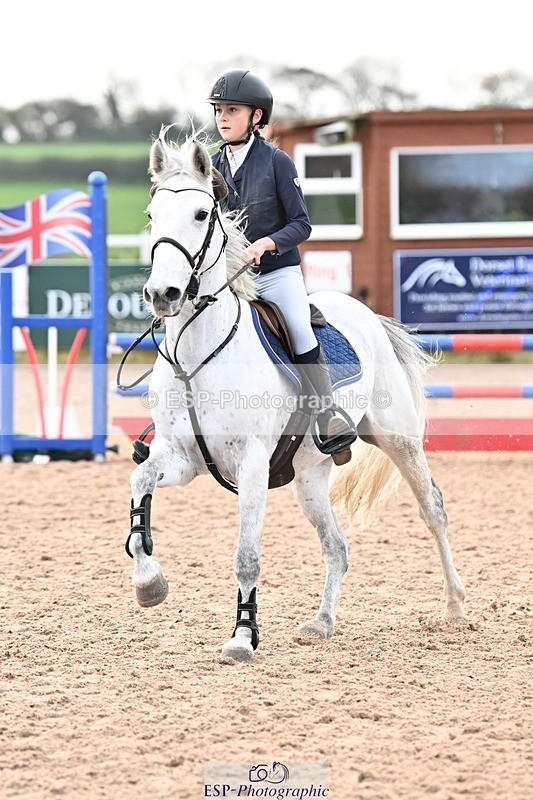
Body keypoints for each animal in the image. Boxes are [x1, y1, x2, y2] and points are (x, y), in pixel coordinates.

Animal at [125, 129, 466, 663]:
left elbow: (246, 557)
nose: (163, 294)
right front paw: (149, 584)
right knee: (337, 547)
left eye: (201, 214)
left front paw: (242, 638)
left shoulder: (252, 465)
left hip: (398, 439)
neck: (198, 354)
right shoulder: (181, 458)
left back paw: (453, 606)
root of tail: (367, 314)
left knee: (432, 508)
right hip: (308, 476)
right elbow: (139, 485)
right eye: (151, 214)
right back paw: (322, 623)